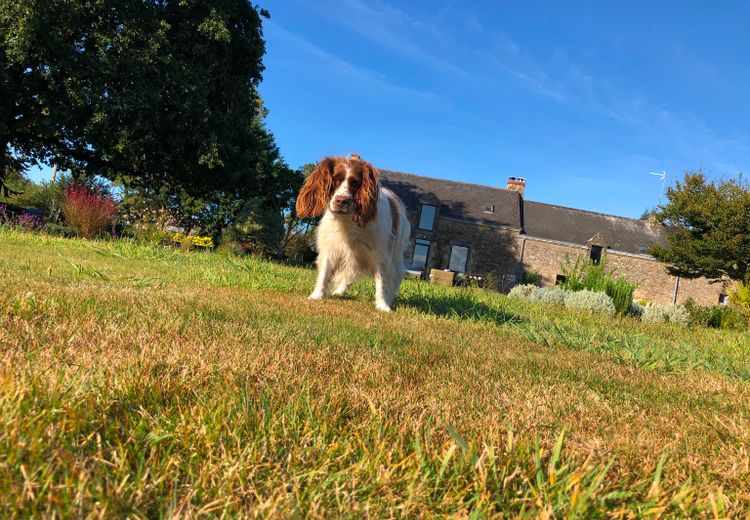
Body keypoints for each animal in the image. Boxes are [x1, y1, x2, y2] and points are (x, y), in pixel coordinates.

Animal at [296, 153, 412, 308]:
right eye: (335, 179)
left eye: (355, 184)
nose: (341, 200)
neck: (348, 221)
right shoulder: (331, 246)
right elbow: (325, 272)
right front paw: (317, 295)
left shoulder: (380, 253)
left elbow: (382, 281)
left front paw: (383, 305)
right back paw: (338, 292)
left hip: (396, 255)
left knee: (395, 276)